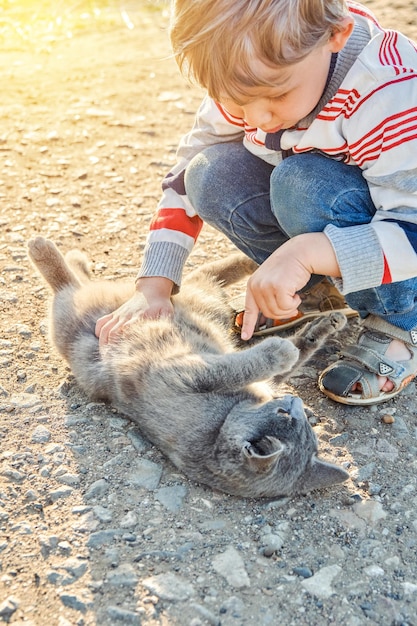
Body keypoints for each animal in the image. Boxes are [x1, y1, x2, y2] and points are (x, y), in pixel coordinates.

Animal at [28, 235, 348, 498]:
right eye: (284, 413)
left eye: (303, 422)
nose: (295, 401)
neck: (219, 426)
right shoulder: (186, 371)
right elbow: (239, 365)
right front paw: (298, 340)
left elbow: (282, 355)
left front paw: (318, 329)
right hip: (177, 297)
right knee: (71, 282)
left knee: (70, 283)